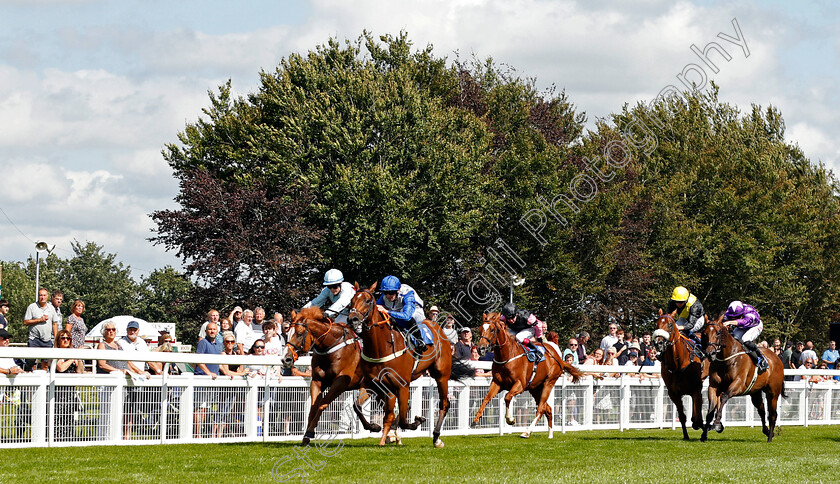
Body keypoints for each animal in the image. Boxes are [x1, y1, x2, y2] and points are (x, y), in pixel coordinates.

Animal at [286, 308, 380, 444]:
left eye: (299, 334)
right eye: (287, 333)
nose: (286, 359)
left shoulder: (340, 383)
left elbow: (322, 403)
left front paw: (309, 432)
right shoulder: (317, 381)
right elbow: (313, 407)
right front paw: (306, 437)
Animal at [344, 284, 470, 446]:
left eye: (367, 301)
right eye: (351, 301)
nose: (352, 319)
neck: (381, 347)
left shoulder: (402, 385)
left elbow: (404, 419)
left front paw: (416, 422)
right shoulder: (371, 383)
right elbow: (357, 406)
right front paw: (374, 427)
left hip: (441, 375)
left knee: (444, 404)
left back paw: (436, 437)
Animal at [652, 310, 704, 438]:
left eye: (670, 325)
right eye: (656, 324)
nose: (658, 343)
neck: (678, 363)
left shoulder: (696, 388)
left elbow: (699, 412)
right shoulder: (673, 393)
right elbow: (682, 416)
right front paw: (686, 436)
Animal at [700, 314, 784, 442]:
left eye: (718, 332)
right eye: (705, 333)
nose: (710, 353)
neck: (726, 359)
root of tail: (777, 358)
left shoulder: (738, 384)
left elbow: (724, 397)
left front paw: (717, 423)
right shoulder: (713, 386)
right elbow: (710, 409)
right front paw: (704, 435)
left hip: (773, 393)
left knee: (773, 414)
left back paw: (770, 437)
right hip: (755, 392)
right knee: (762, 411)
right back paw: (766, 431)